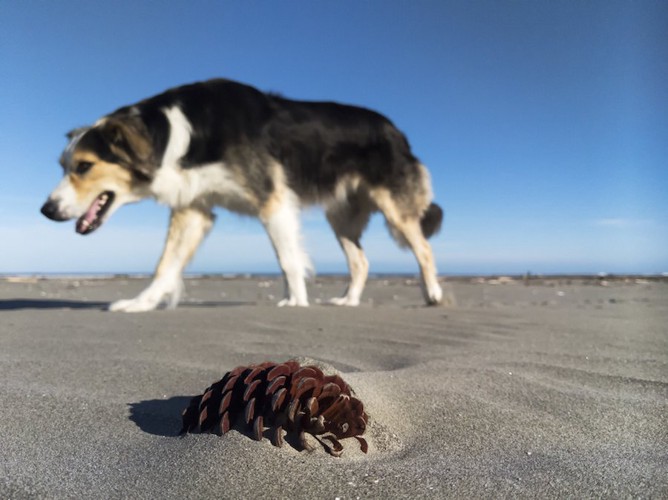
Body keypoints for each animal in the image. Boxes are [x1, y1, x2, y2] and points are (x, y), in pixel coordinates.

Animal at [43, 78, 448, 310]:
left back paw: (433, 295)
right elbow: (165, 264)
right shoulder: (194, 208)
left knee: (425, 249)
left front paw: (296, 302)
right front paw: (140, 303)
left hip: (393, 206)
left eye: (84, 166)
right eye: (62, 165)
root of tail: (396, 130)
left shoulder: (273, 200)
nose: (47, 210)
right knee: (360, 261)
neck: (180, 135)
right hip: (341, 215)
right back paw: (348, 301)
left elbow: (288, 259)